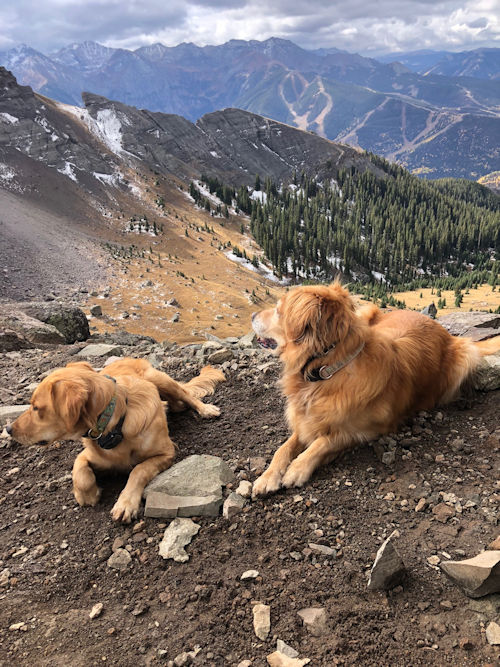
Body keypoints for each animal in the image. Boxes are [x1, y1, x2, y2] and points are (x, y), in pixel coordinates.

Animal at [7, 360, 225, 520]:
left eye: (36, 408)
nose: (8, 429)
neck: (115, 426)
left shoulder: (167, 451)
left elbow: (138, 470)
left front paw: (126, 503)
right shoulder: (87, 454)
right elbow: (79, 473)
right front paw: (88, 495)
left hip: (159, 379)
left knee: (186, 395)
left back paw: (205, 409)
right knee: (178, 403)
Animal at [252, 282, 500, 496]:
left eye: (277, 310)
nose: (253, 316)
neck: (328, 370)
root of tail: (441, 328)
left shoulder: (366, 430)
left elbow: (324, 442)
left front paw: (297, 468)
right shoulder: (306, 420)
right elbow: (284, 447)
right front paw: (268, 476)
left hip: (464, 357)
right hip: (368, 312)